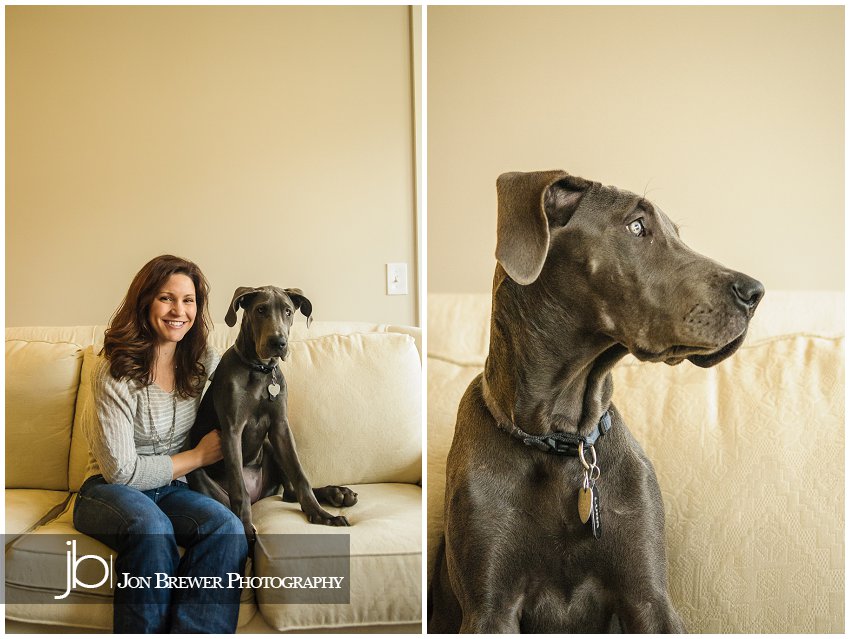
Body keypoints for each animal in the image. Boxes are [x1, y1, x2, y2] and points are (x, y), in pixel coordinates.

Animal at [187, 288, 356, 544]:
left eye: (288, 311)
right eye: (260, 310)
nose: (279, 343)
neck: (260, 370)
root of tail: (259, 495)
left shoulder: (281, 429)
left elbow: (301, 476)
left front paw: (321, 515)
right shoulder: (232, 430)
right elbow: (239, 491)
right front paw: (246, 528)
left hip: (269, 445)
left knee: (290, 493)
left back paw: (338, 494)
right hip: (199, 474)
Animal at [428, 171, 764, 636]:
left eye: (676, 234)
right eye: (636, 226)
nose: (755, 292)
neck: (561, 438)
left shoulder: (649, 598)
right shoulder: (489, 608)